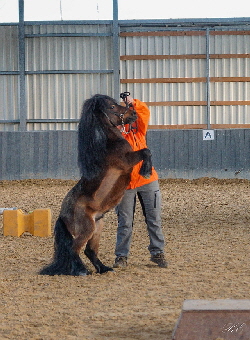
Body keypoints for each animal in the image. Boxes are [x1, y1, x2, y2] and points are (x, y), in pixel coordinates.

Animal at [39, 93, 152, 276]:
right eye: (112, 107)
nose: (133, 113)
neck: (108, 144)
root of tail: (63, 216)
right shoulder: (127, 161)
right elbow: (146, 151)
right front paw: (146, 171)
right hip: (88, 229)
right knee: (74, 249)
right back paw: (81, 271)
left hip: (98, 225)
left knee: (89, 251)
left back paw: (104, 269)